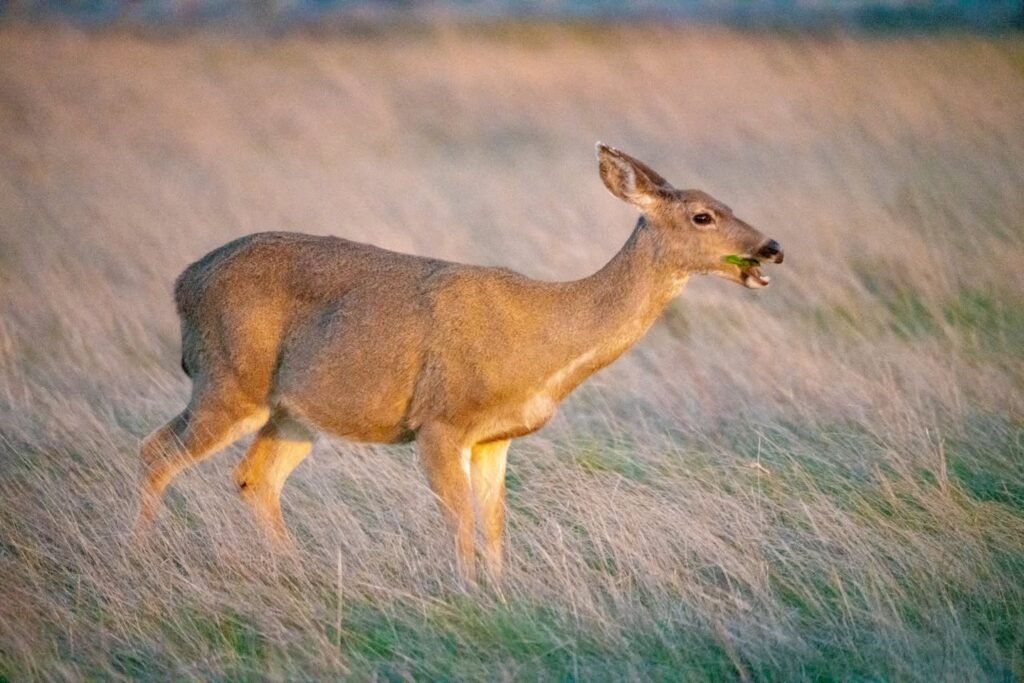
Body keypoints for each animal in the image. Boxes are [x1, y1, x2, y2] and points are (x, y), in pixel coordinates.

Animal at [133, 143, 784, 584]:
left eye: (727, 204)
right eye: (703, 216)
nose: (771, 248)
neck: (546, 338)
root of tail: (182, 282)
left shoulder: (496, 438)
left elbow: (494, 525)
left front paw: (498, 594)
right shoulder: (441, 422)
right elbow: (462, 523)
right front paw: (466, 591)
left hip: (290, 412)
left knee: (252, 478)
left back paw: (297, 572)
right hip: (229, 381)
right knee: (157, 453)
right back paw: (141, 557)